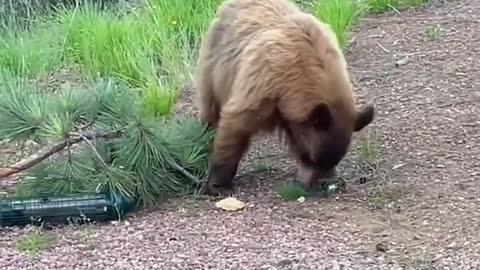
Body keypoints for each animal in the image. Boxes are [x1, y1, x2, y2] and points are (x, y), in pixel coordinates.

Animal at [191, 0, 376, 196]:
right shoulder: (264, 82)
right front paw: (218, 184)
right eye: (314, 158)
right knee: (210, 107)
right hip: (215, 62)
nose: (321, 183)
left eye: (334, 160)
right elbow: (236, 123)